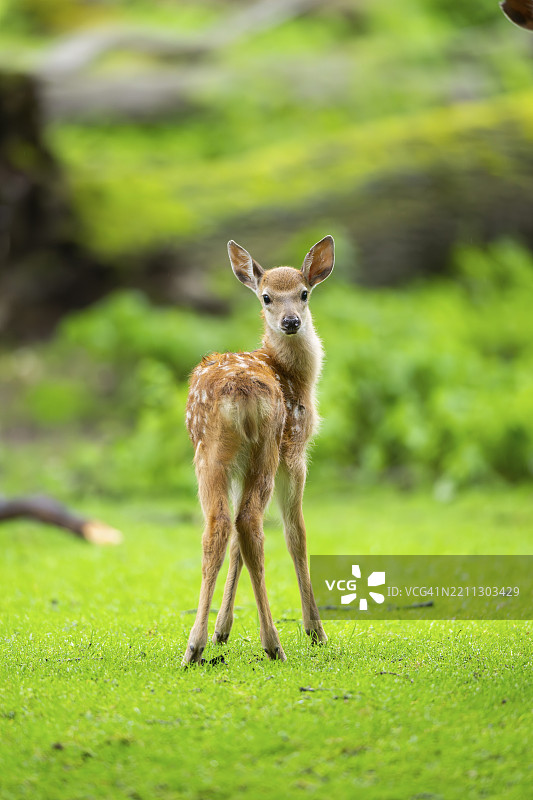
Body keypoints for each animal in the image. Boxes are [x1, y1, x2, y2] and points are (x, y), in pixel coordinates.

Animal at [182, 235, 335, 665]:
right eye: (266, 297)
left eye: (303, 293)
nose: (291, 322)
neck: (294, 376)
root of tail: (241, 391)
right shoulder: (296, 451)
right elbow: (297, 534)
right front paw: (315, 630)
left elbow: (234, 543)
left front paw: (222, 629)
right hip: (266, 449)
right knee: (250, 523)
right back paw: (273, 643)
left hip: (213, 455)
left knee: (220, 525)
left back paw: (195, 645)